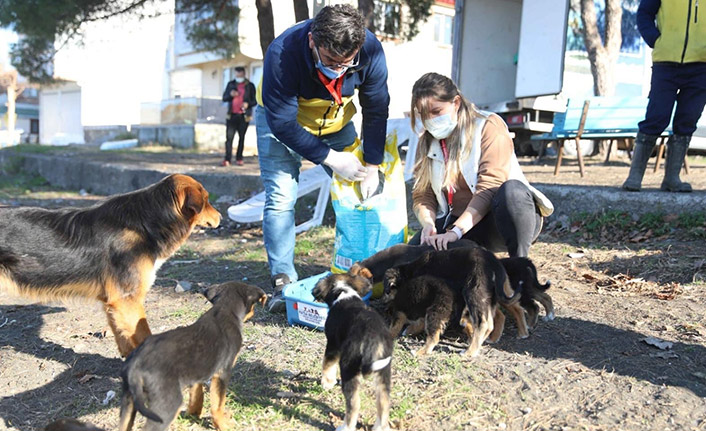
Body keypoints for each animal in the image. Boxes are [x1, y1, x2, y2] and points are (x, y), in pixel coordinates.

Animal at [0, 174, 220, 356]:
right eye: (207, 201)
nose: (221, 216)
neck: (145, 222)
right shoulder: (127, 299)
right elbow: (144, 336)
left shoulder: (114, 303)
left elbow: (124, 339)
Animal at [118, 282, 266, 430]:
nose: (254, 313)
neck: (224, 309)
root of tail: (136, 362)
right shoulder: (222, 372)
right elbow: (218, 403)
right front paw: (223, 425)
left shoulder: (196, 374)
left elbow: (197, 395)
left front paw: (194, 414)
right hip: (166, 405)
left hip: (128, 402)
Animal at [312, 274, 394, 431]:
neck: (344, 293)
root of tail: (372, 339)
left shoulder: (333, 345)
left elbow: (327, 364)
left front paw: (327, 383)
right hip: (383, 371)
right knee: (384, 402)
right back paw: (380, 427)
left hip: (349, 368)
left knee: (354, 404)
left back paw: (346, 427)